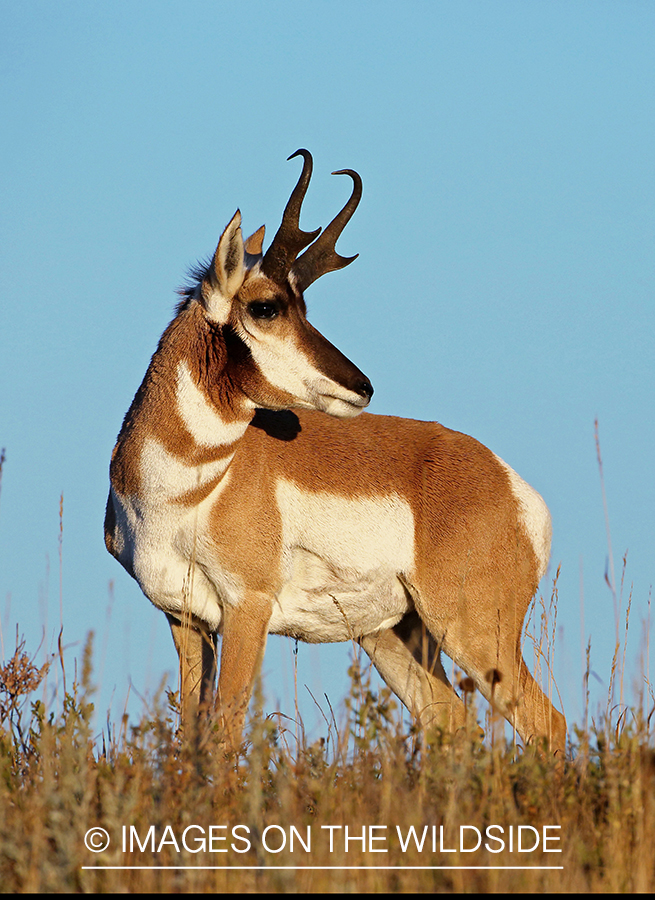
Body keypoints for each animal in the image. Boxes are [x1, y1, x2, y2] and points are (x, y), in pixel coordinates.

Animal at [105, 151, 568, 756]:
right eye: (267, 306)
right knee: (453, 723)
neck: (187, 489)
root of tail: (511, 485)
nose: (362, 386)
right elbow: (194, 736)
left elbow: (226, 735)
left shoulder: (248, 609)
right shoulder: (185, 619)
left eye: (304, 305)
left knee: (546, 723)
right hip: (392, 636)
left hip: (470, 630)